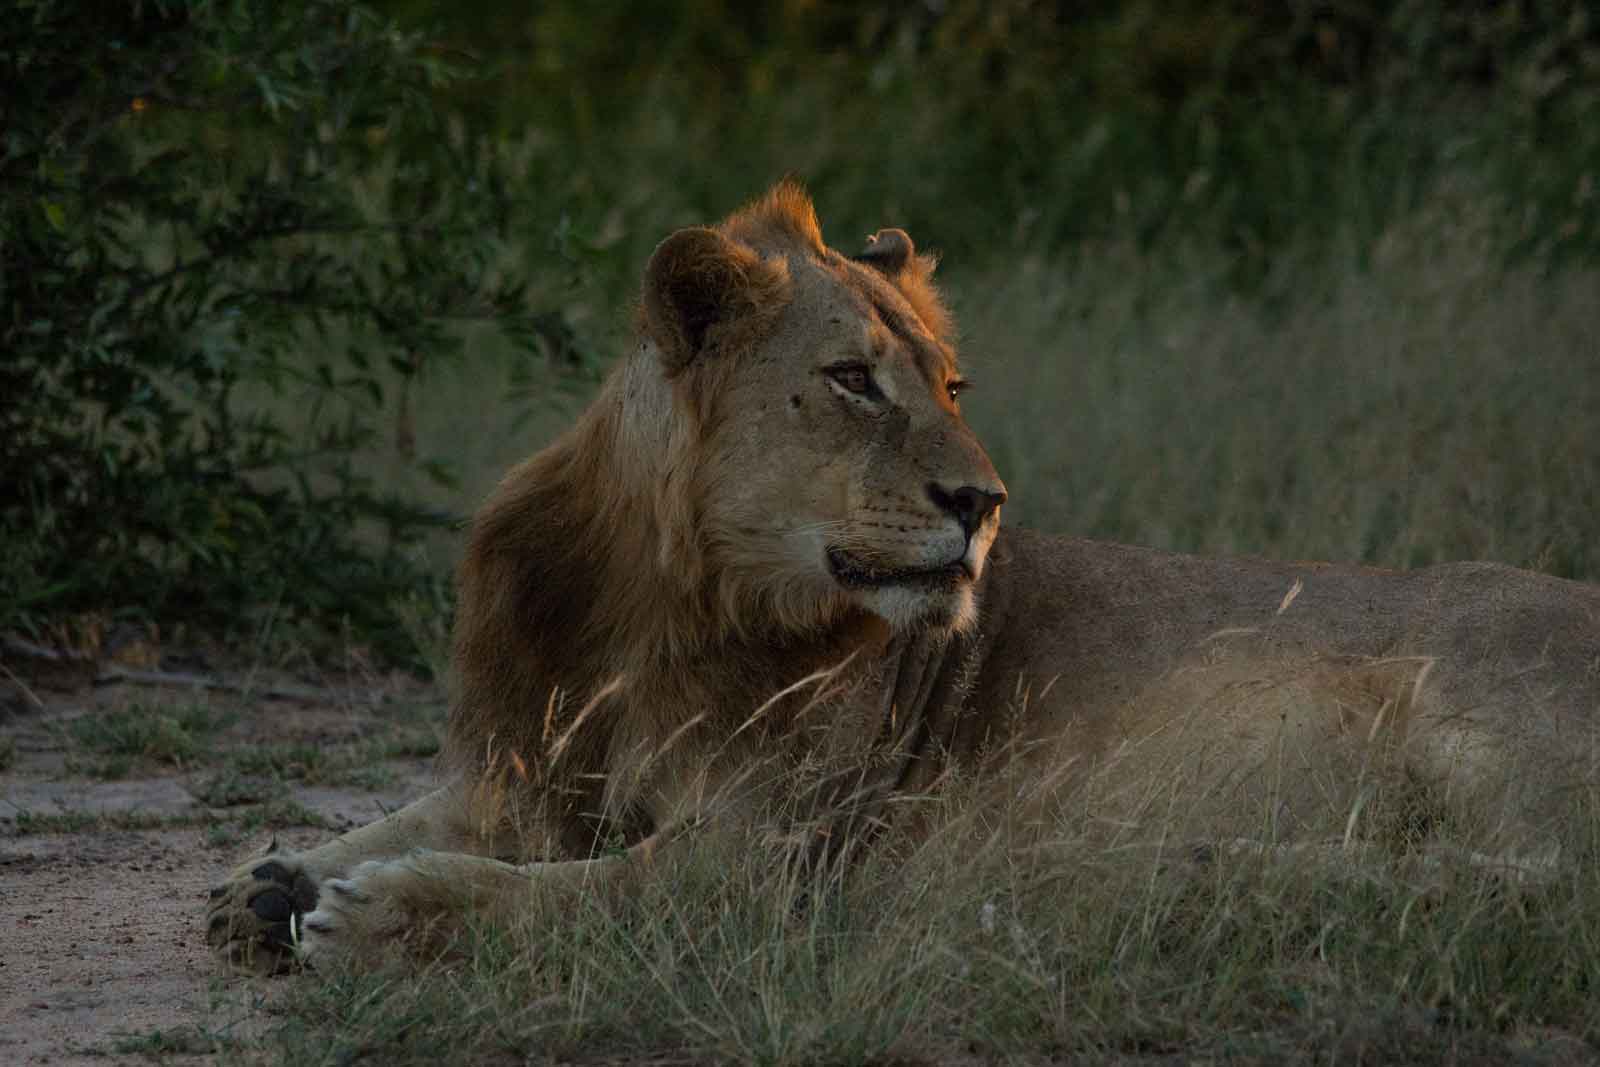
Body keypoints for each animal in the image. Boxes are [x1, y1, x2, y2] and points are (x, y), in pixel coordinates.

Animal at [207, 181, 1600, 972]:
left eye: (950, 385)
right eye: (852, 380)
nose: (983, 505)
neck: (657, 603)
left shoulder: (774, 859)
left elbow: (558, 896)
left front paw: (377, 916)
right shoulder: (532, 767)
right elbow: (421, 813)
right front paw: (274, 880)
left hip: (1457, 698)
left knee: (1533, 885)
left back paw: (1205, 871)